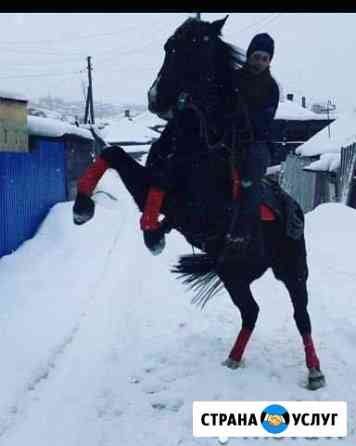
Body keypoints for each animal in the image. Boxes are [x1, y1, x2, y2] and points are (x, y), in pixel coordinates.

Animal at [74, 15, 326, 388]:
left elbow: (155, 180)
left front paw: (152, 235)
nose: (156, 98)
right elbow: (114, 153)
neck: (200, 143)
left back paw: (314, 370)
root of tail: (294, 210)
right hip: (233, 274)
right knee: (251, 312)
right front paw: (84, 208)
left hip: (292, 271)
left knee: (301, 316)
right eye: (168, 46)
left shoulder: (191, 207)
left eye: (194, 51)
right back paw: (233, 358)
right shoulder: (161, 192)